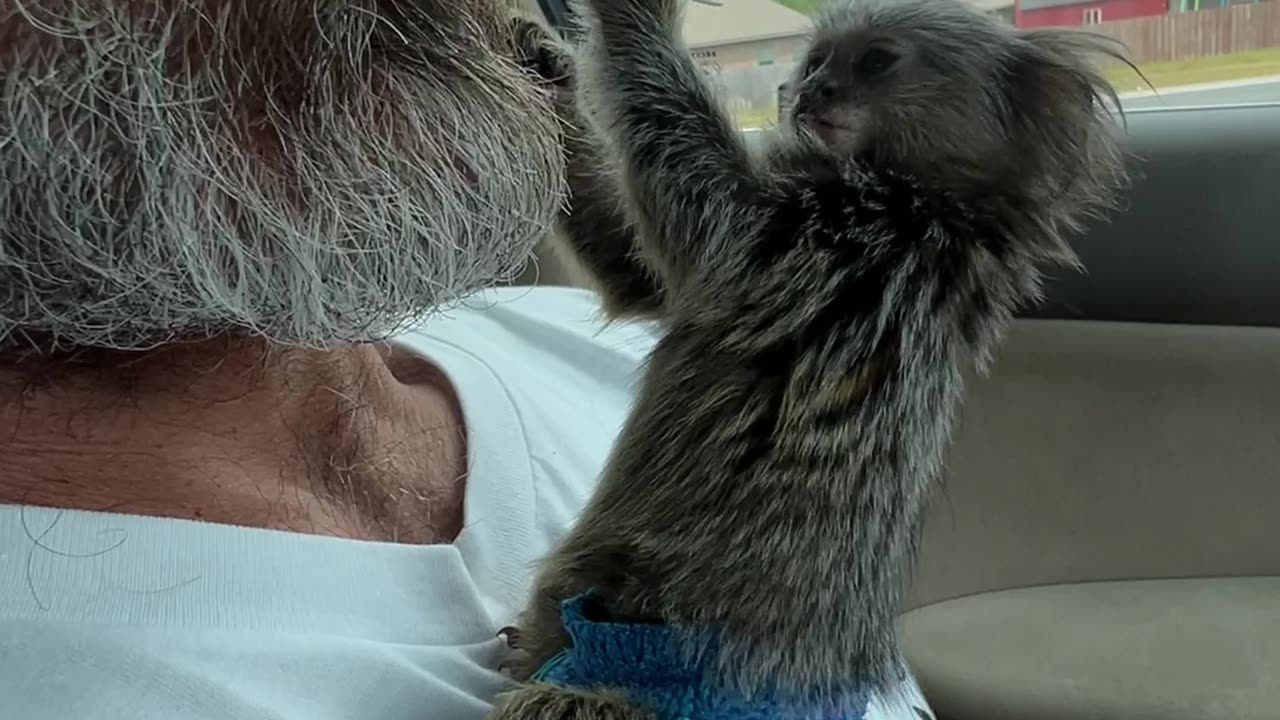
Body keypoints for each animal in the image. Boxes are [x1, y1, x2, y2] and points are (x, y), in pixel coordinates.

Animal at [499, 0, 1131, 712]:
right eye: (816, 61)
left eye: (875, 60)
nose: (808, 91)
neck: (931, 198)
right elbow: (636, 276)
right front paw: (550, 73)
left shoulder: (841, 238)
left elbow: (705, 212)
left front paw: (635, 15)